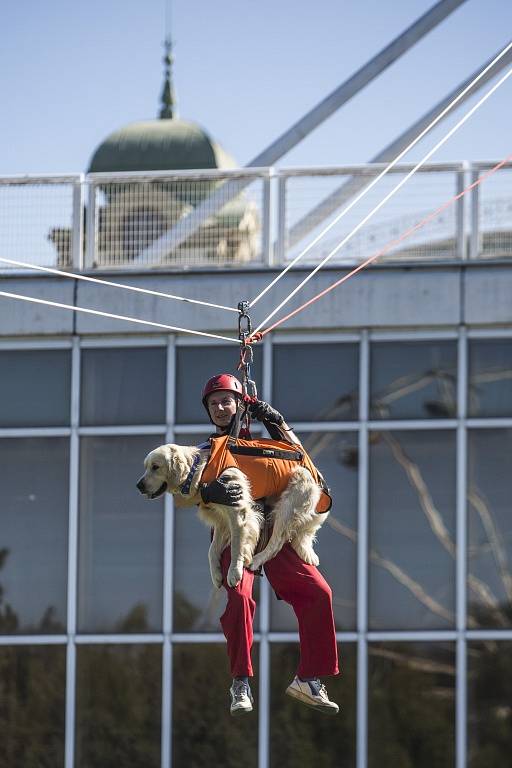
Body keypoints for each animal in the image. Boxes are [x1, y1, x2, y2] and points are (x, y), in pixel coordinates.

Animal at [136, 444, 328, 588]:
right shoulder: (221, 519)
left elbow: (237, 545)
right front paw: (216, 574)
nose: (138, 485)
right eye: (145, 467)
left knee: (277, 542)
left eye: (155, 467)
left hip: (289, 504)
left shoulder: (238, 512)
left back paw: (256, 560)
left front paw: (234, 572)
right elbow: (212, 550)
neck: (200, 470)